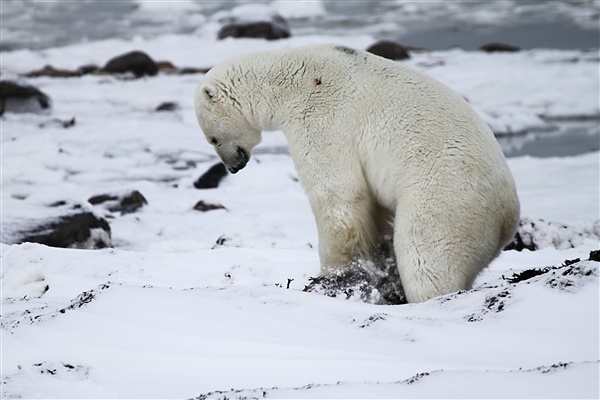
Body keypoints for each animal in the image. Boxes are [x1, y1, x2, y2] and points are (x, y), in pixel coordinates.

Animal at [193, 44, 520, 304]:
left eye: (212, 139)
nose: (233, 166)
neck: (290, 80)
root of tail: (507, 218)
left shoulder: (321, 116)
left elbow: (338, 195)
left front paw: (333, 274)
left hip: (448, 197)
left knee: (426, 254)